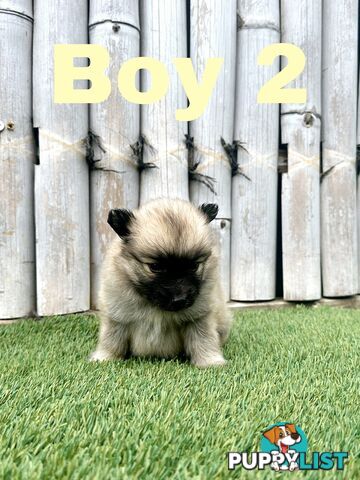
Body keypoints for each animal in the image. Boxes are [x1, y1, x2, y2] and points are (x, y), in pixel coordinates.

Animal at [89, 198, 231, 368]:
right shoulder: (117, 316)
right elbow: (111, 339)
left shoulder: (198, 318)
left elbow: (203, 339)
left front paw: (210, 362)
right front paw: (105, 358)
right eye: (155, 267)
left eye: (194, 266)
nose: (180, 299)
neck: (154, 306)